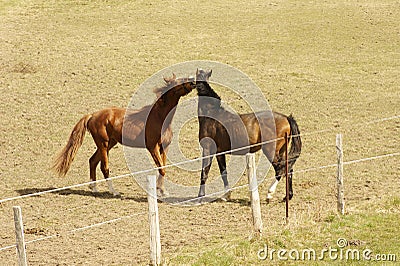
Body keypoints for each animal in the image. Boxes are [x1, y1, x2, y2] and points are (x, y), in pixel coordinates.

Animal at [52, 74, 196, 196]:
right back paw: (113, 191)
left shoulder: (164, 147)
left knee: (92, 161)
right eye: (180, 81)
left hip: (109, 143)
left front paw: (162, 191)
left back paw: (94, 188)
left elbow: (163, 169)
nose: (193, 80)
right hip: (103, 144)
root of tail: (92, 115)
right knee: (104, 167)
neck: (159, 118)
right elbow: (162, 169)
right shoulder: (152, 147)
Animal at [195, 69, 302, 202]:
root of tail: (286, 118)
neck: (212, 115)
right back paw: (287, 196)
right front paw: (226, 195)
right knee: (288, 168)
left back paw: (269, 193)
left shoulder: (207, 149)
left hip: (271, 151)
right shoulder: (220, 152)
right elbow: (224, 173)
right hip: (281, 151)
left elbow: (204, 173)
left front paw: (200, 197)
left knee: (280, 169)